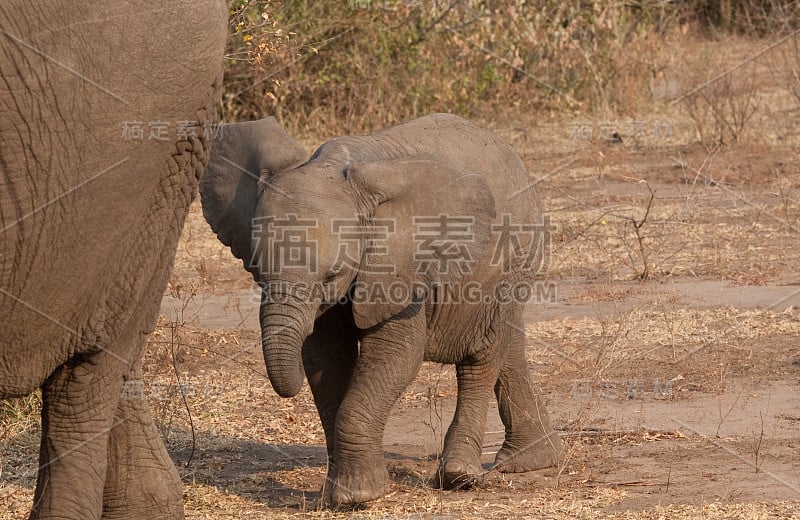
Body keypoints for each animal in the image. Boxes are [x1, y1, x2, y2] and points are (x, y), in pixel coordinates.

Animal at [200, 112, 564, 504]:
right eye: (256, 270)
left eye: (332, 275)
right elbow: (326, 359)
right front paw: (340, 492)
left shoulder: (400, 267)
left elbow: (396, 354)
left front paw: (358, 496)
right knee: (508, 345)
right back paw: (530, 461)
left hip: (514, 257)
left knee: (481, 356)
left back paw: (460, 477)